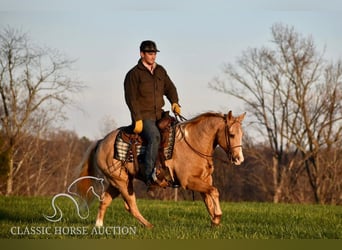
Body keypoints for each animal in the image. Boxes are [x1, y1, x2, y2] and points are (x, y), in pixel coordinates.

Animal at [76, 110, 244, 228]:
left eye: (241, 134)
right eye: (231, 134)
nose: (239, 159)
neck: (193, 142)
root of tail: (101, 142)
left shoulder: (205, 179)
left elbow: (209, 198)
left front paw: (215, 221)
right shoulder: (188, 181)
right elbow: (214, 191)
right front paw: (218, 216)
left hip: (117, 181)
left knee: (105, 200)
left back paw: (99, 226)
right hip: (122, 183)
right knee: (131, 206)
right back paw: (149, 225)